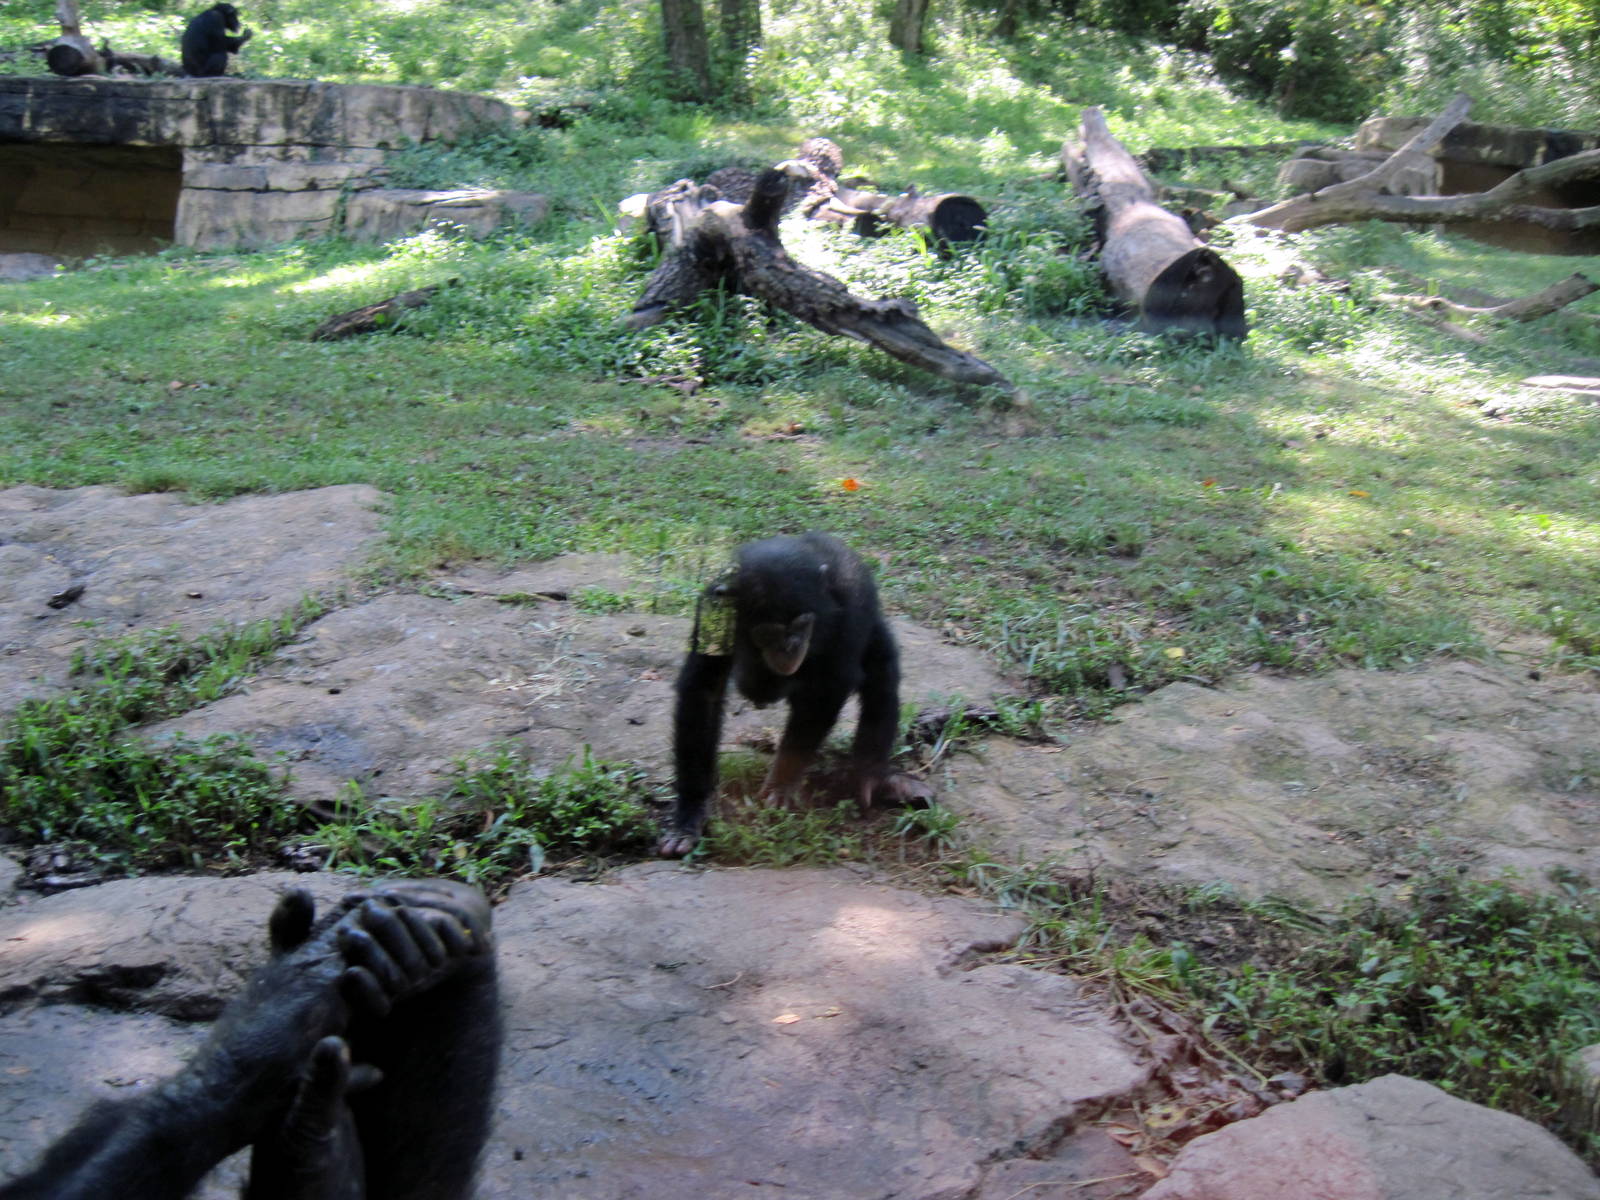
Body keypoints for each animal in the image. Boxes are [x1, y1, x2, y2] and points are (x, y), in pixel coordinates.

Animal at [660, 531, 904, 858]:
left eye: (801, 624)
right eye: (769, 632)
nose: (790, 646)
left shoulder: (851, 605)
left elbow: (827, 689)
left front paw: (781, 783)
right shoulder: (713, 605)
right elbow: (704, 692)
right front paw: (689, 812)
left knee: (881, 673)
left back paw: (868, 774)